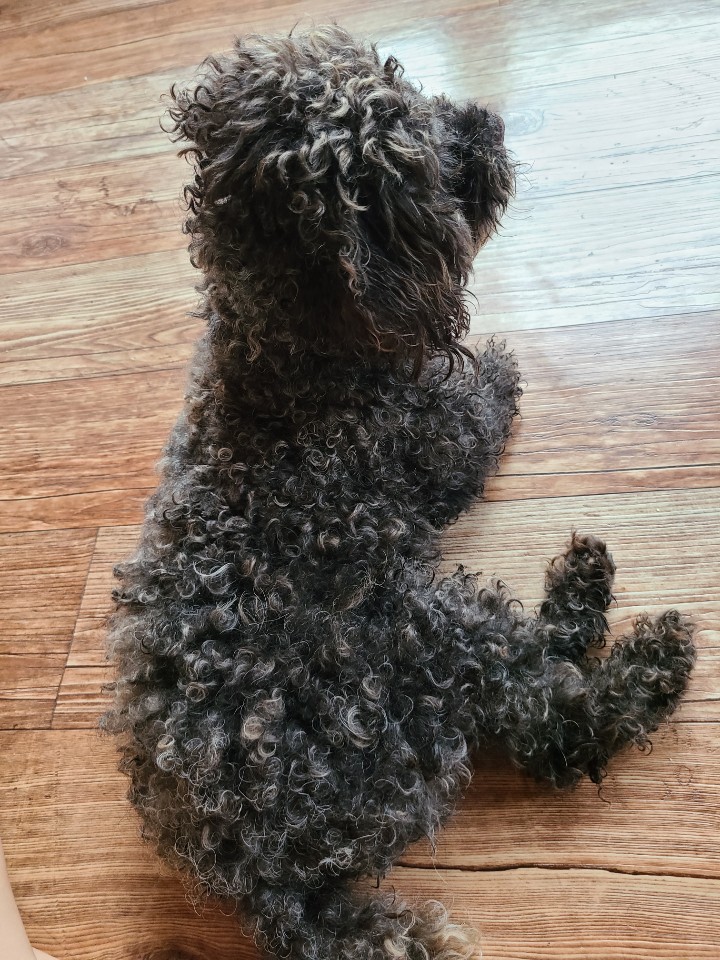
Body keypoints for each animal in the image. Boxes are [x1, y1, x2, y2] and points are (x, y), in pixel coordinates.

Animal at [103, 26, 696, 960]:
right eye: (419, 159)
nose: (488, 120)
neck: (288, 354)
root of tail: (269, 881)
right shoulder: (437, 440)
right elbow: (483, 407)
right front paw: (500, 368)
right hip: (414, 641)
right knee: (554, 723)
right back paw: (634, 634)